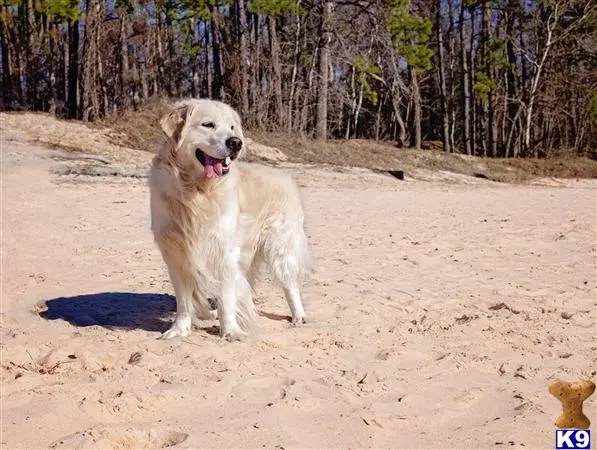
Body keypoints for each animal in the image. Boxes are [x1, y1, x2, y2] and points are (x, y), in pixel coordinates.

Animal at [149, 97, 310, 338]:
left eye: (232, 127)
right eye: (208, 125)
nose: (236, 143)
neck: (196, 191)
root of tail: (285, 175)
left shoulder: (224, 250)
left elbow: (227, 295)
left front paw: (230, 331)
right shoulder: (176, 253)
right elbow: (184, 300)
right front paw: (179, 330)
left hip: (280, 247)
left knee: (290, 284)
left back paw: (298, 315)